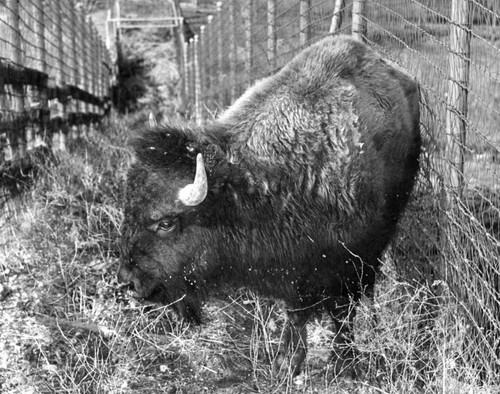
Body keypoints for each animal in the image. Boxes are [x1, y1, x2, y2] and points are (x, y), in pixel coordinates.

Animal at [118, 35, 422, 378]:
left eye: (166, 222)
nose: (128, 281)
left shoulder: (351, 260)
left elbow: (342, 312)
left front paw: (344, 363)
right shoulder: (296, 270)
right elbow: (296, 313)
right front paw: (285, 363)